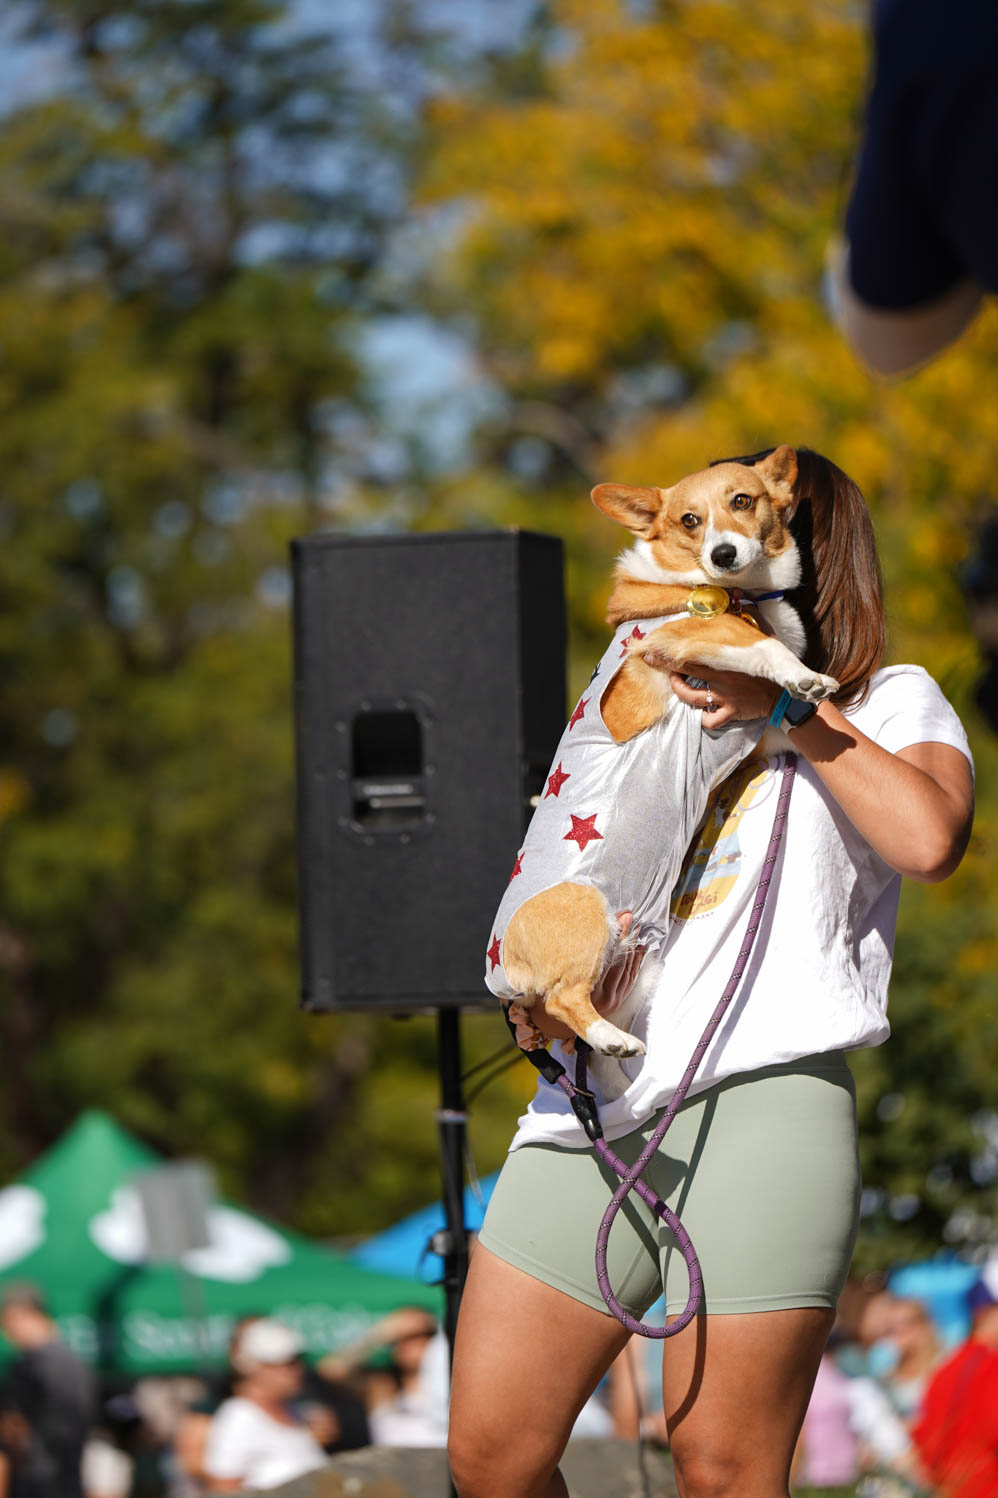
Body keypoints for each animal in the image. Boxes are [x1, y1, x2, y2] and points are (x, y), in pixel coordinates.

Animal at [482, 440, 833, 1066]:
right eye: (689, 520)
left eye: (742, 501)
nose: (722, 554)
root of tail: (502, 976)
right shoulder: (691, 635)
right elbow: (763, 645)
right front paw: (806, 677)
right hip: (584, 911)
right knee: (568, 999)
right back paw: (615, 1040)